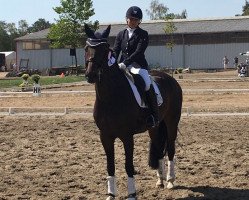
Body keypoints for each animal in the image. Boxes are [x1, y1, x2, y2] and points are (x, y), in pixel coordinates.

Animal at [84, 24, 182, 199]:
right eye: (86, 48)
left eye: (105, 49)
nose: (91, 75)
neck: (111, 97)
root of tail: (170, 79)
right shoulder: (105, 136)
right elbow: (110, 166)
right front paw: (111, 194)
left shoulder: (127, 136)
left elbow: (128, 165)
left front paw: (132, 193)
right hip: (155, 127)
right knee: (158, 148)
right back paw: (160, 180)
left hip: (172, 122)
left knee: (170, 148)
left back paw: (170, 181)